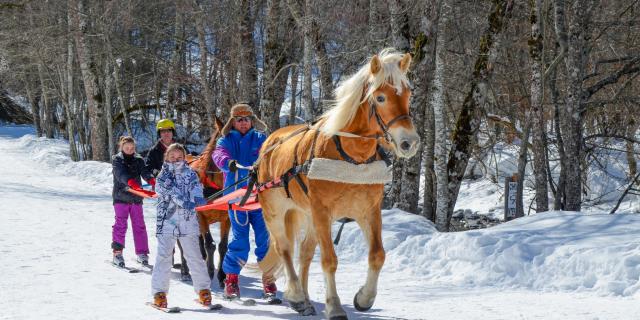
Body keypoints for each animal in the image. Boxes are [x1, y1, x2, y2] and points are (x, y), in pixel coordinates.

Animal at [184, 117, 231, 288]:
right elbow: (210, 244)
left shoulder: (227, 218)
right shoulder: (201, 216)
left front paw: (222, 276)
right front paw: (210, 273)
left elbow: (223, 246)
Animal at [255, 48, 420, 320]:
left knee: (305, 254)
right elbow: (329, 260)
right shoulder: (323, 212)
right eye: (380, 97)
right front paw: (334, 306)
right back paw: (296, 295)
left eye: (408, 93)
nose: (409, 142)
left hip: (308, 215)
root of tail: (270, 142)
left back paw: (306, 300)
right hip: (275, 211)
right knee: (285, 250)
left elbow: (377, 255)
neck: (352, 156)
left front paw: (364, 298)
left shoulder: (368, 211)